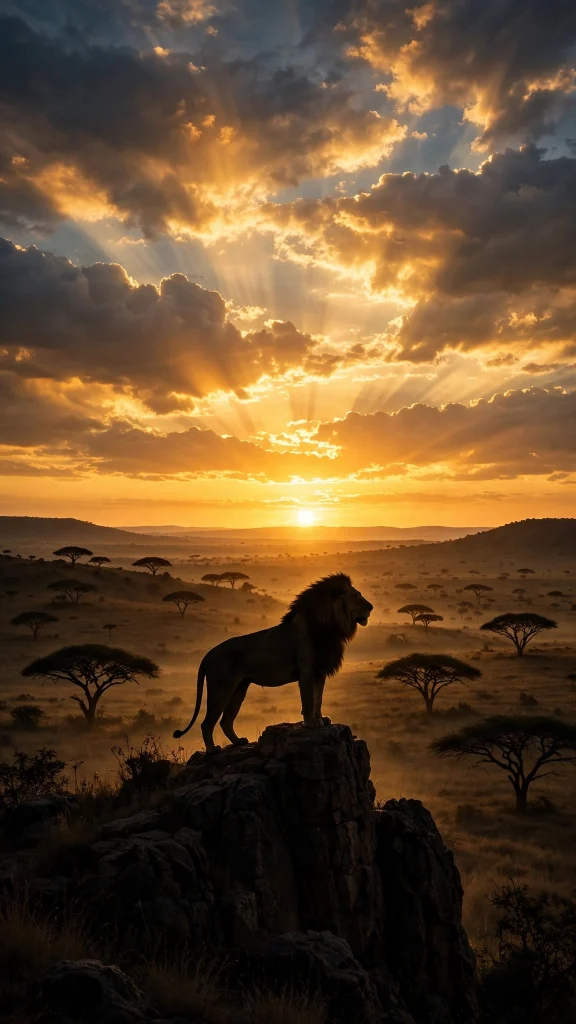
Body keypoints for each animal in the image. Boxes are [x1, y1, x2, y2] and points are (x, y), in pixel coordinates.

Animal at [173, 572, 373, 753]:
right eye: (356, 596)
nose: (371, 607)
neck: (331, 625)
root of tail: (208, 655)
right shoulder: (307, 670)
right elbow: (308, 699)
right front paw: (311, 722)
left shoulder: (319, 671)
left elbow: (318, 698)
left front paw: (321, 719)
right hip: (221, 688)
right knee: (207, 723)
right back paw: (212, 750)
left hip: (239, 688)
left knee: (225, 721)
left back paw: (238, 742)